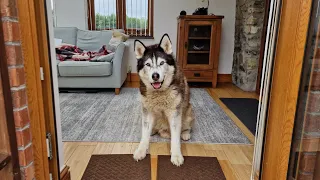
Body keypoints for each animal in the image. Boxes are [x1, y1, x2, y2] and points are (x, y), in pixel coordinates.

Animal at [133, 33, 194, 166]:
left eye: (161, 63)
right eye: (148, 64)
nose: (155, 76)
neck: (159, 94)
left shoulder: (175, 113)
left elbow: (175, 138)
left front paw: (176, 155)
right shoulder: (147, 111)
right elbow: (144, 134)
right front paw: (141, 150)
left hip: (189, 111)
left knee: (185, 126)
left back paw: (185, 133)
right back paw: (153, 131)